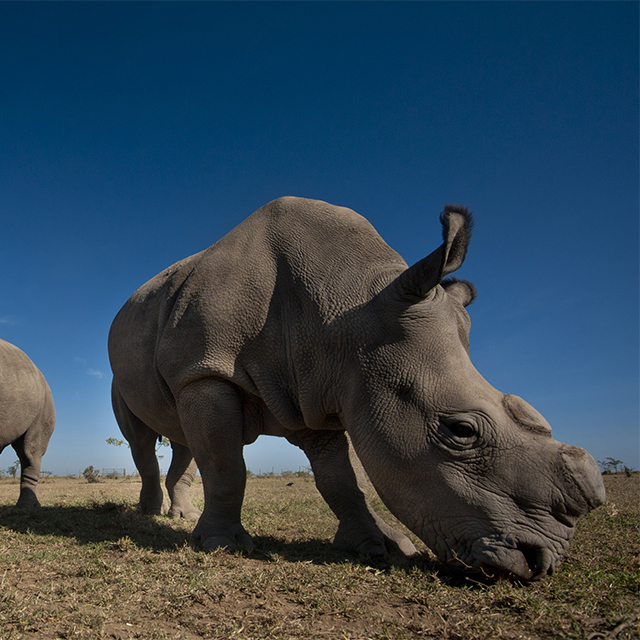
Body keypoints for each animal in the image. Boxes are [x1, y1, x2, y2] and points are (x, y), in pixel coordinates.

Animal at [108, 196, 605, 581]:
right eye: (461, 431)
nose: (540, 562)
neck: (350, 308)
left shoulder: (317, 387)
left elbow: (341, 480)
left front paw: (381, 546)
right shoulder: (207, 371)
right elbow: (227, 466)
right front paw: (220, 546)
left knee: (183, 438)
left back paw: (180, 517)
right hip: (137, 372)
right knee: (144, 439)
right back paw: (149, 516)